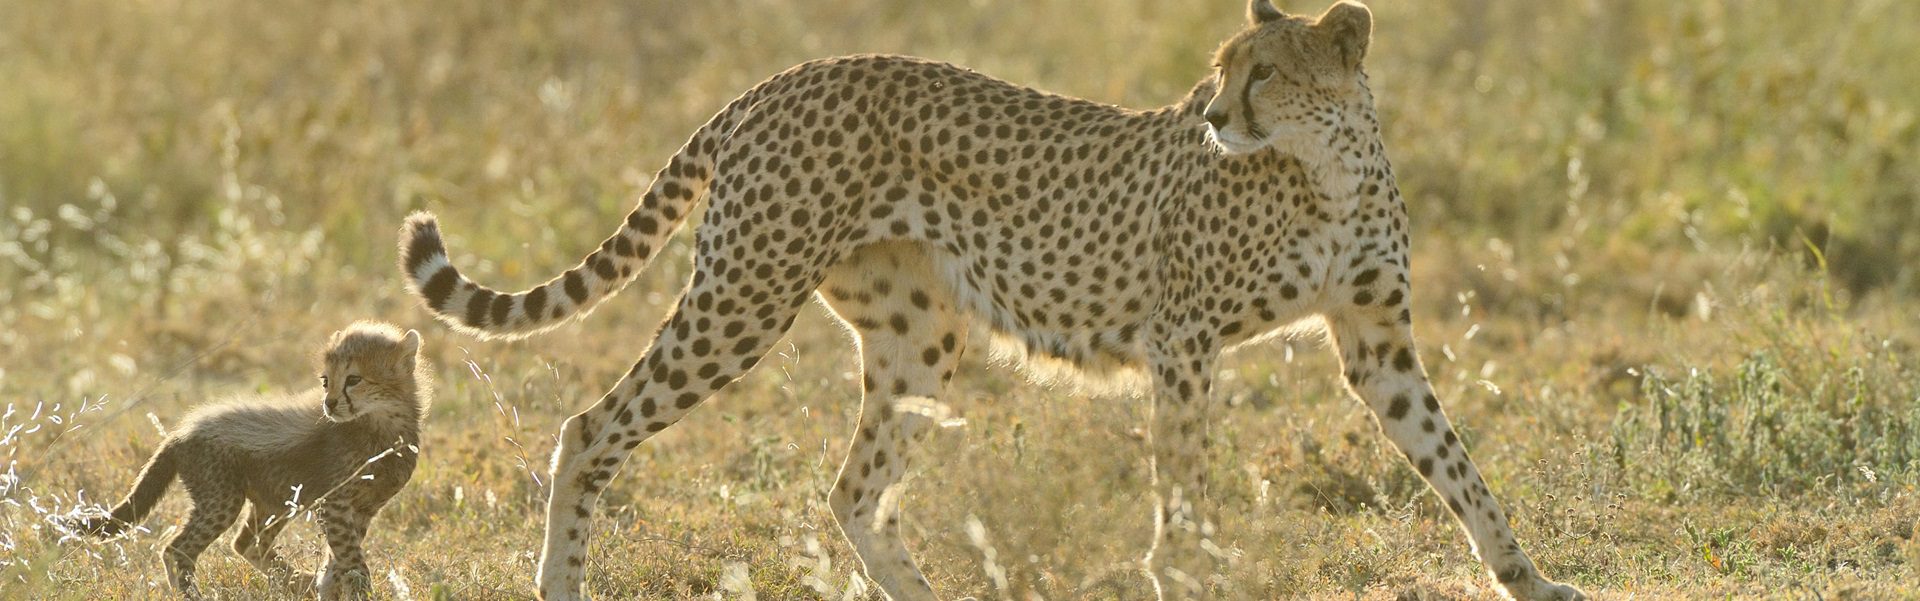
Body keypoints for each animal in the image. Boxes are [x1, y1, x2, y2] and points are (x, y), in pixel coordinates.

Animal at [62, 321, 428, 600]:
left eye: (354, 379)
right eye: (326, 380)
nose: (329, 403)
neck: (383, 424)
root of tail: (181, 432)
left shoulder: (363, 508)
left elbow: (337, 559)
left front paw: (327, 587)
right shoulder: (335, 504)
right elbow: (351, 559)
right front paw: (358, 590)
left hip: (275, 499)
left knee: (247, 542)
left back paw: (298, 581)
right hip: (223, 498)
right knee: (177, 550)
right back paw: (195, 595)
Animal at [394, 1, 1584, 599]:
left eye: (1266, 72)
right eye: (1221, 68)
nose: (1213, 114)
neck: (1324, 165)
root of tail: (778, 79)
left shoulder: (1376, 342)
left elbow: (1458, 465)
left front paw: (1528, 576)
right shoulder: (1185, 340)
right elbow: (1185, 484)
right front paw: (1185, 572)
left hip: (916, 334)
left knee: (851, 489)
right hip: (746, 295)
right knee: (590, 427)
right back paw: (559, 581)